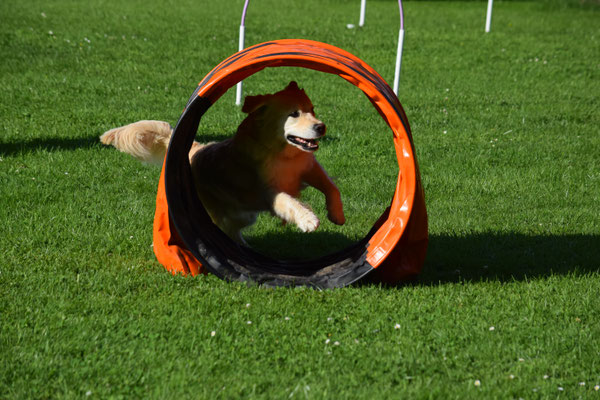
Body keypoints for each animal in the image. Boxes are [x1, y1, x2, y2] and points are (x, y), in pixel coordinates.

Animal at [101, 81, 344, 242]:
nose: (321, 127)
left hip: (245, 214)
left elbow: (331, 187)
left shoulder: (309, 168)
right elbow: (289, 202)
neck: (282, 154)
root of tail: (195, 148)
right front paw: (308, 220)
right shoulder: (269, 191)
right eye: (294, 114)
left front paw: (337, 215)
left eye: (312, 110)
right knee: (228, 230)